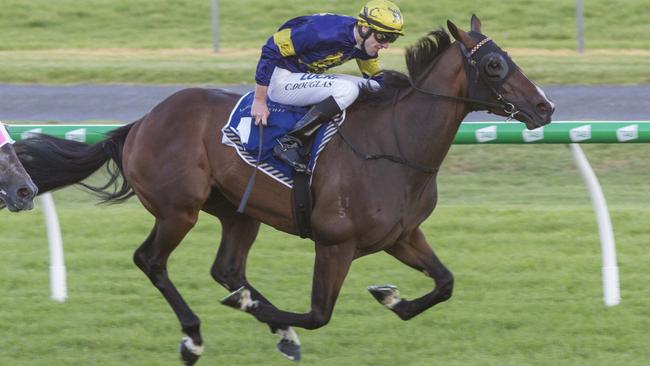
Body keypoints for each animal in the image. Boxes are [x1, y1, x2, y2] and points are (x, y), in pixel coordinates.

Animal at [15, 15, 548, 364]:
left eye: (508, 57)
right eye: (495, 65)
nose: (546, 108)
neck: (395, 143)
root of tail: (142, 122)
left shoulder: (400, 236)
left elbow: (444, 283)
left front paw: (390, 297)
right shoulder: (335, 243)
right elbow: (318, 314)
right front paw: (266, 314)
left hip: (238, 211)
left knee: (227, 268)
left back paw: (262, 318)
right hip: (178, 210)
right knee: (151, 261)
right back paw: (195, 336)